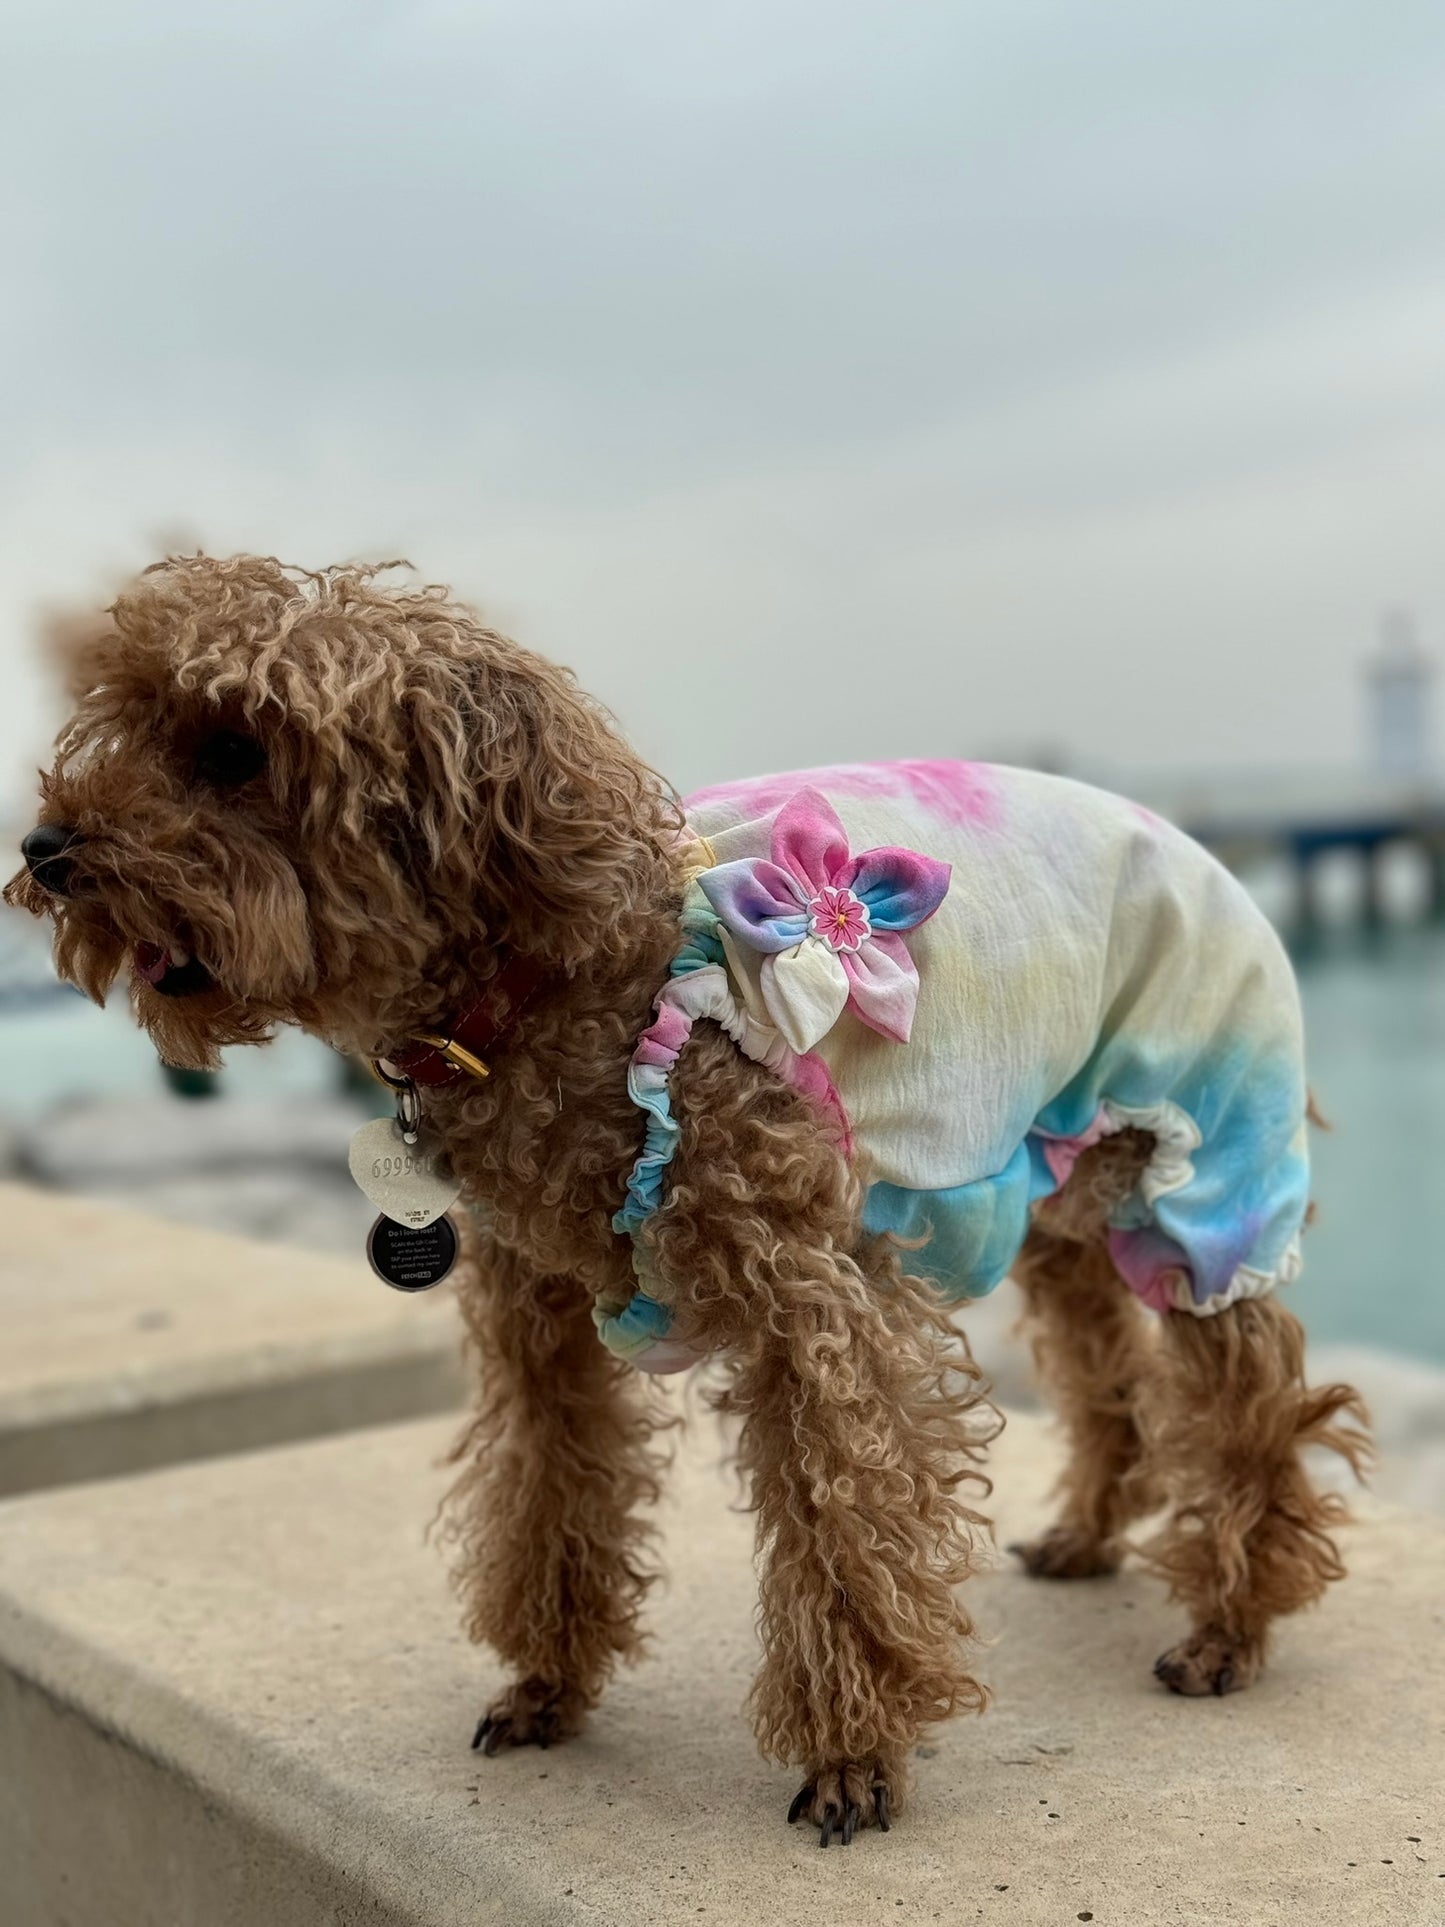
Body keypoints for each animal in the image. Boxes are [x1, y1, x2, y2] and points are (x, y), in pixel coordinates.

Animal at [5, 551, 1371, 1842]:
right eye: (126, 725)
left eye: (235, 749)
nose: (44, 851)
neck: (538, 996)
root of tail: (1183, 833)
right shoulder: (537, 1310)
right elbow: (550, 1484)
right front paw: (546, 1686)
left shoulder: (810, 1303)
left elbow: (840, 1522)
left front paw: (850, 1758)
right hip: (1046, 1183)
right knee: (1106, 1370)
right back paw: (1090, 1531)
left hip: (1201, 1166)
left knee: (1253, 1399)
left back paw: (1229, 1624)